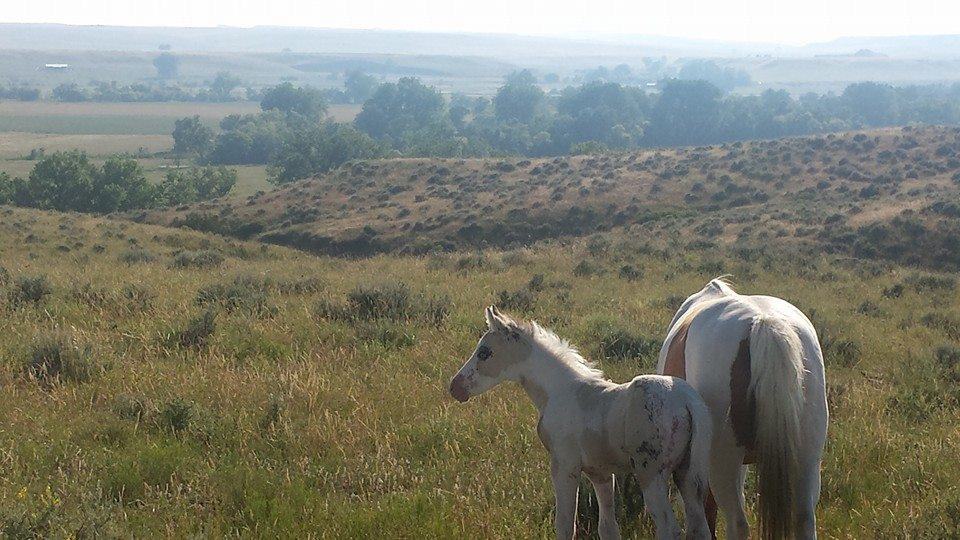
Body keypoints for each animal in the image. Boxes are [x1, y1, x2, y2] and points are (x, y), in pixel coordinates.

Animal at [450, 308, 712, 540]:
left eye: (484, 352)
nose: (455, 387)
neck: (560, 390)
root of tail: (687, 399)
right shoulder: (601, 473)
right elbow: (608, 528)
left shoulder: (565, 466)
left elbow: (565, 526)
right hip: (687, 476)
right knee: (700, 528)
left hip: (651, 475)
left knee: (670, 529)